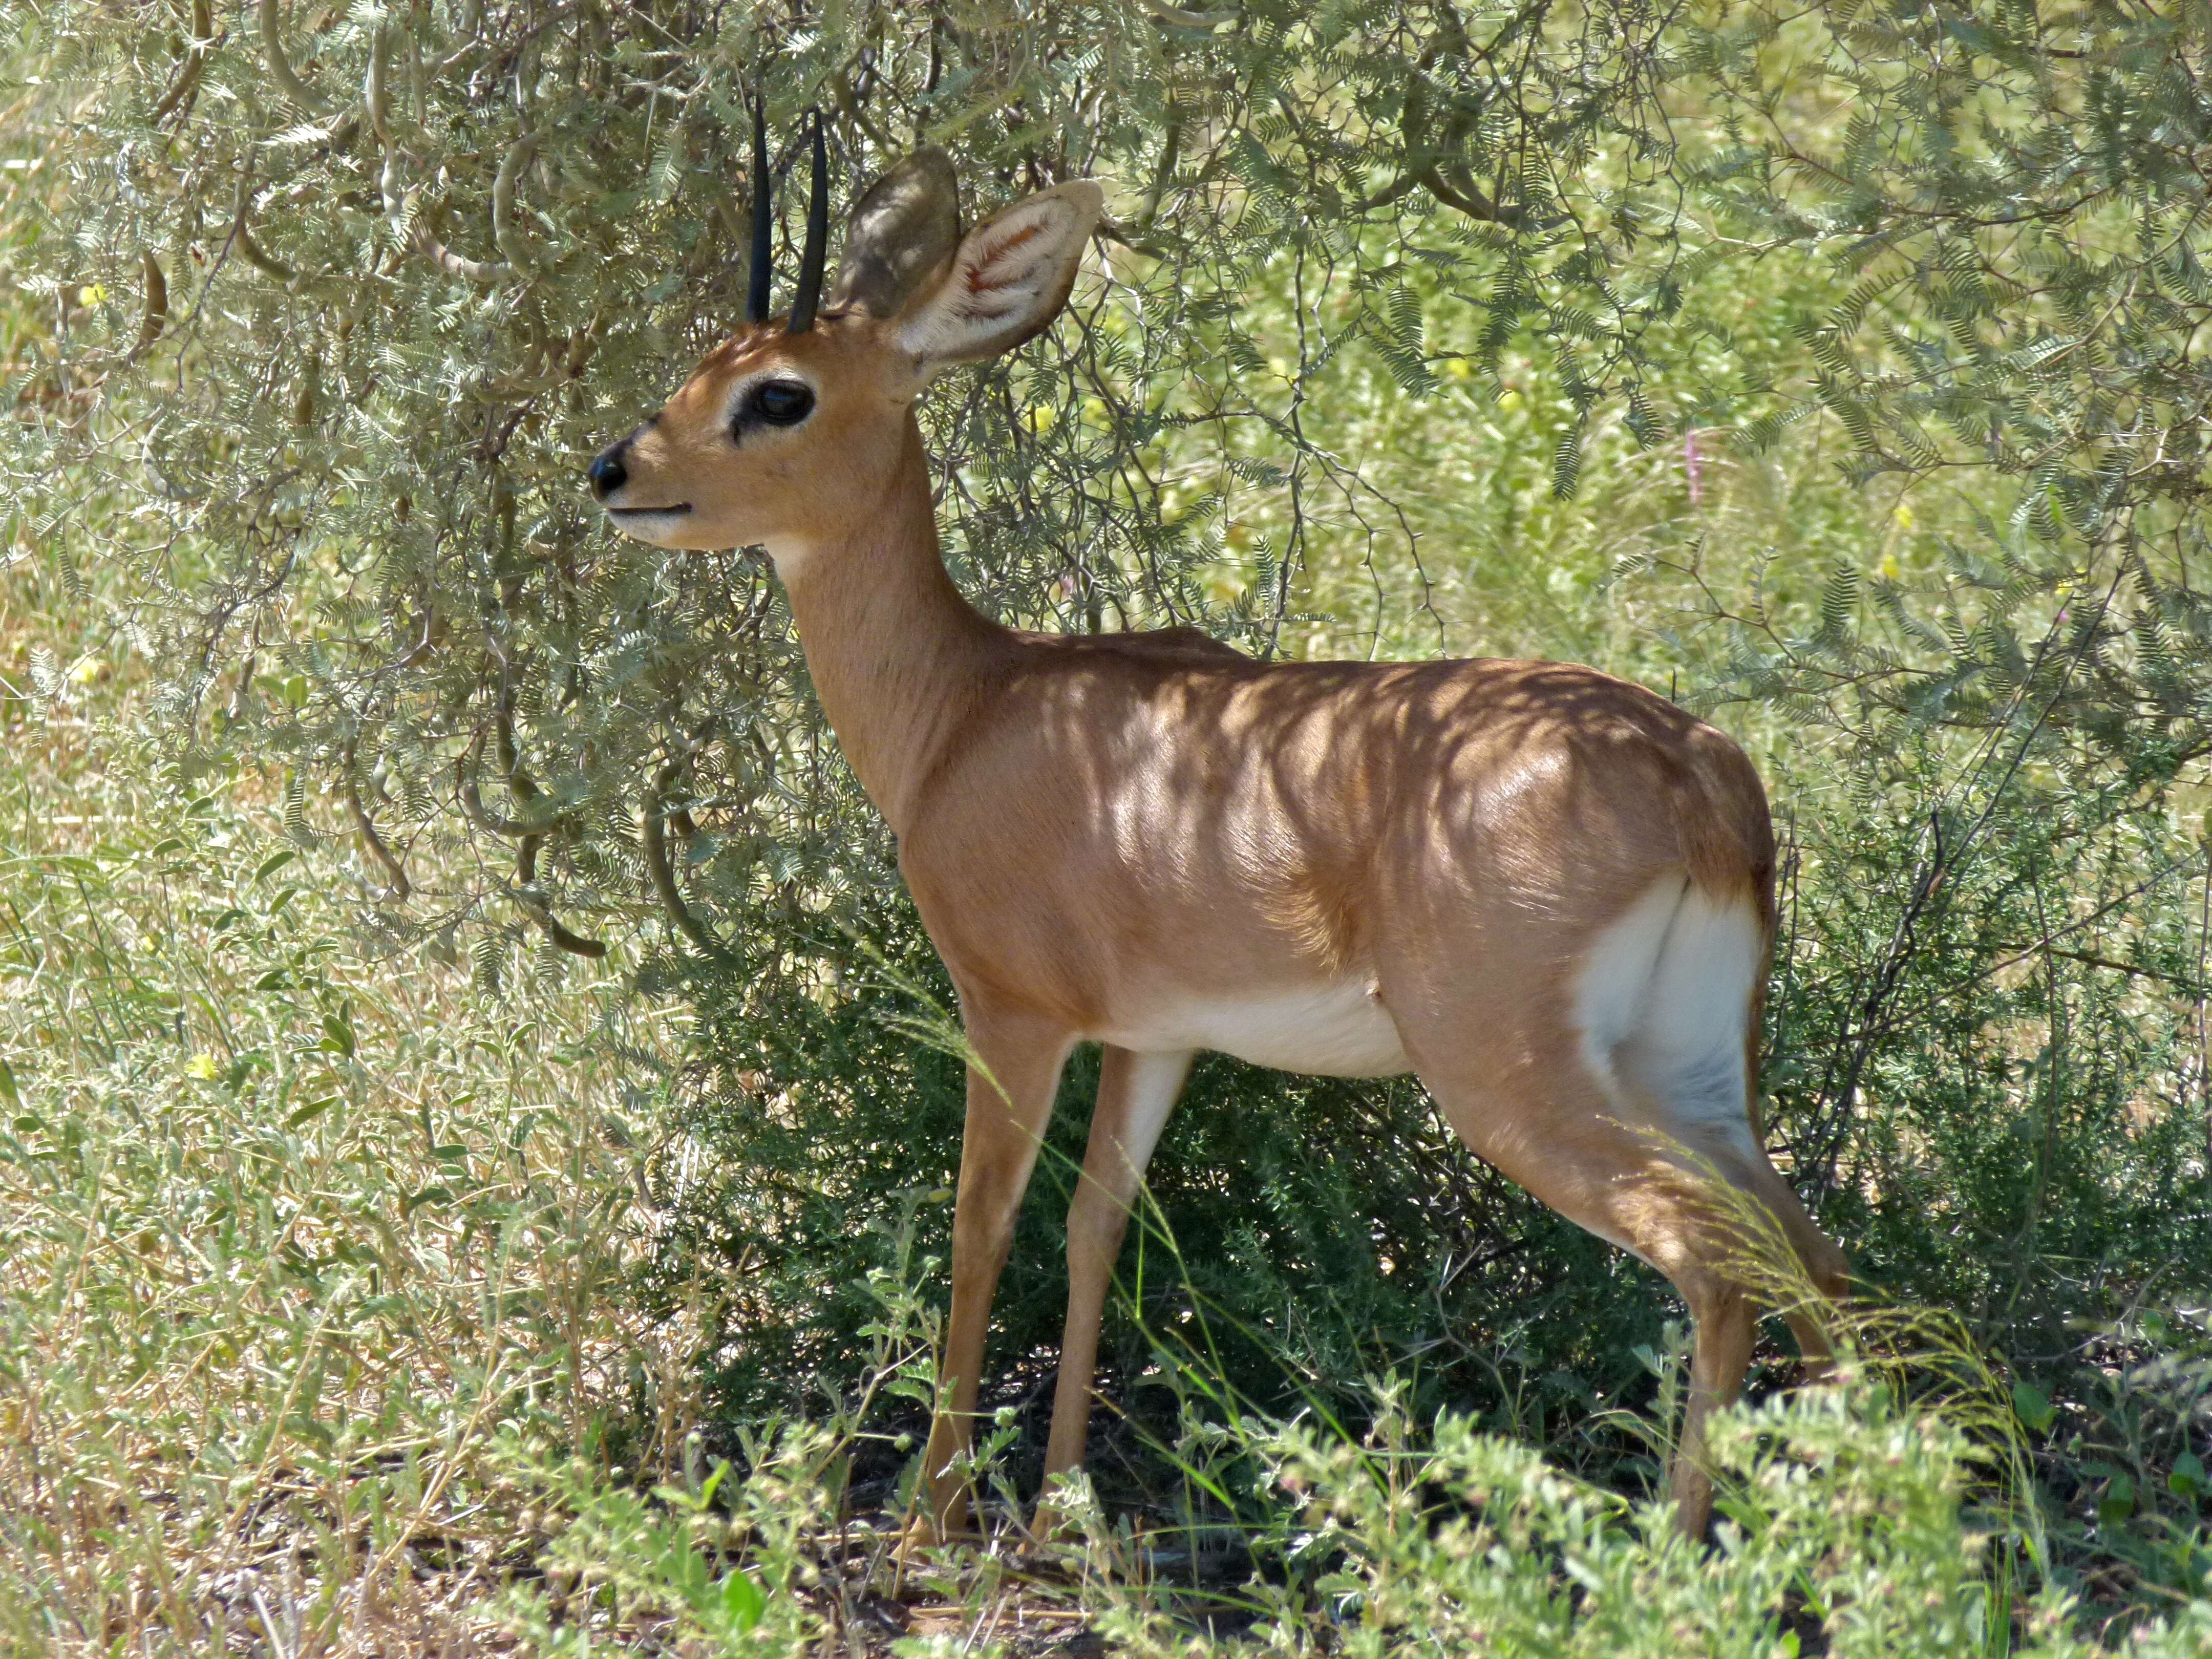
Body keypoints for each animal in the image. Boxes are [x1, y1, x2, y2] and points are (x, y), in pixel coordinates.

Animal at [588, 114, 1849, 1548]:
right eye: (706, 358)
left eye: (780, 393)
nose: (616, 472)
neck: (970, 708)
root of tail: (1699, 775)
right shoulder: (1157, 1035)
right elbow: (1096, 1225)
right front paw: (1056, 1506)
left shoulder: (1011, 1012)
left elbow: (981, 1225)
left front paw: (934, 1520)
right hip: (1686, 1069)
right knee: (1811, 1254)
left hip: (1513, 1083)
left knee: (1719, 1261)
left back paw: (1677, 1554)